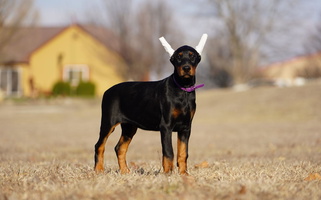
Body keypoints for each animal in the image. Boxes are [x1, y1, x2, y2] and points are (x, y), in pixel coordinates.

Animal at [94, 38, 206, 174]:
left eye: (192, 56)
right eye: (179, 57)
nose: (186, 68)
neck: (183, 89)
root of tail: (107, 91)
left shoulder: (186, 127)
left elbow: (183, 153)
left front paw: (184, 174)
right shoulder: (166, 126)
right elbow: (168, 152)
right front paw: (167, 174)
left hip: (129, 127)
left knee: (119, 148)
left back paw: (125, 171)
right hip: (108, 122)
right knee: (99, 145)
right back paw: (98, 170)